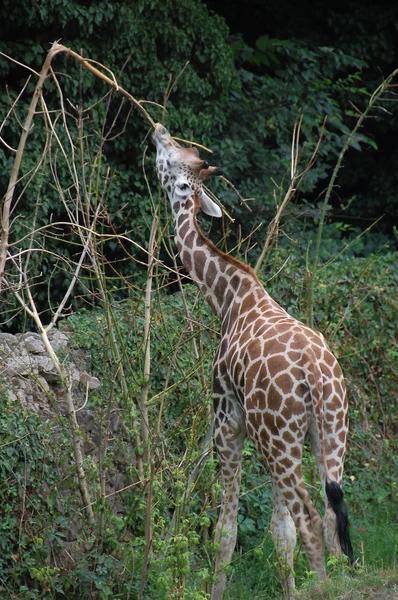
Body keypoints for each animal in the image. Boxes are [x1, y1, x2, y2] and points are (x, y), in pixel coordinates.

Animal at [151, 123, 352, 600]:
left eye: (171, 157)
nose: (157, 129)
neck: (227, 299)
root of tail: (317, 375)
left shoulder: (229, 419)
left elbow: (226, 531)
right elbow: (281, 533)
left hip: (278, 438)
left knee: (311, 519)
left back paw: (322, 587)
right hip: (327, 432)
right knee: (329, 516)